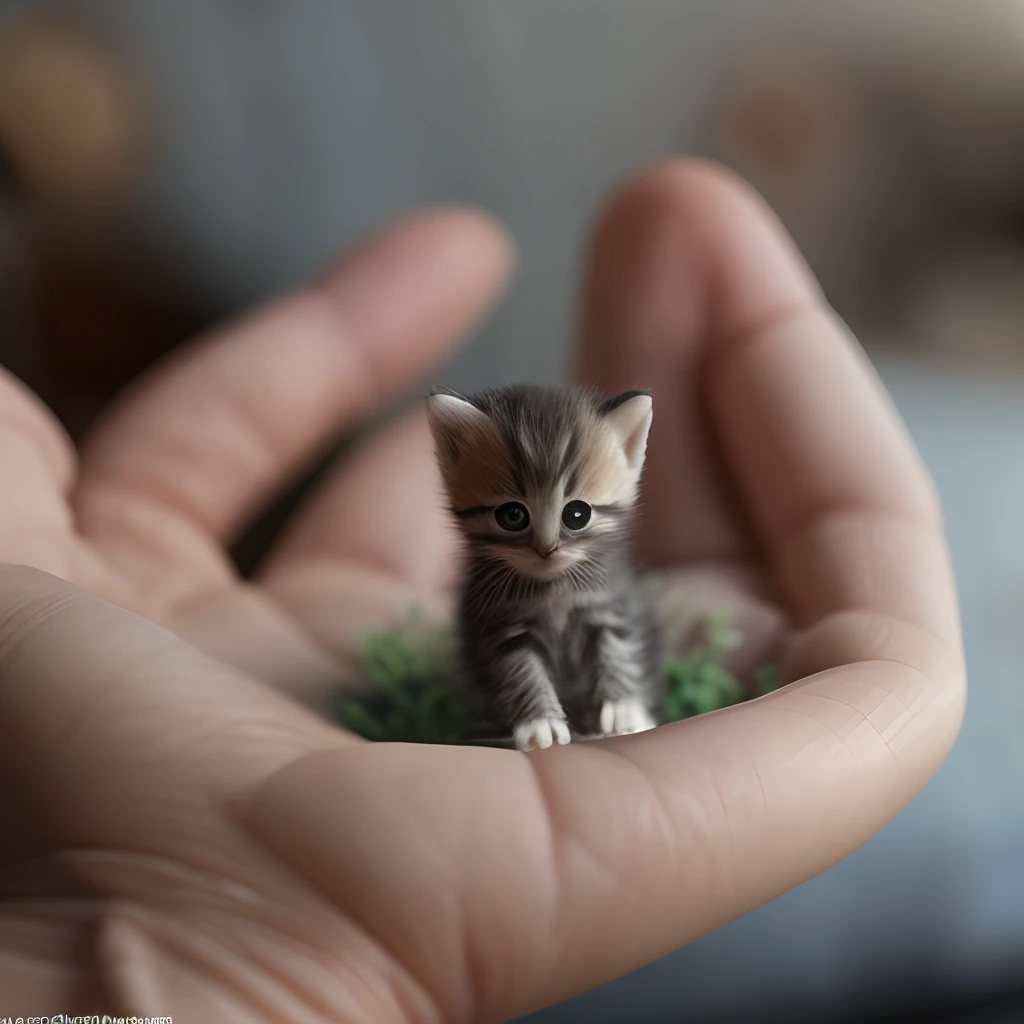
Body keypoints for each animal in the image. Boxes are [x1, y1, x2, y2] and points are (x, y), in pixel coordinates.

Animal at [423, 385, 663, 753]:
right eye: (512, 515)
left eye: (577, 514)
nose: (546, 549)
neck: (554, 589)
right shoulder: (502, 627)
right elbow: (521, 672)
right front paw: (540, 725)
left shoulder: (609, 605)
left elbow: (617, 650)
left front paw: (623, 710)